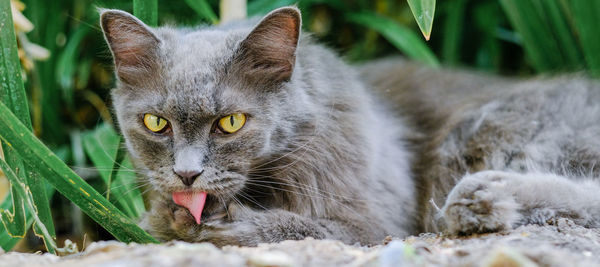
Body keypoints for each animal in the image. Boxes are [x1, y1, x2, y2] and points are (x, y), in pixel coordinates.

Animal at [99, 6, 600, 247]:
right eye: (156, 123)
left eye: (231, 122)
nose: (187, 175)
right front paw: (171, 216)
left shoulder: (376, 219)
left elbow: (310, 228)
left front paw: (224, 225)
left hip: (486, 127)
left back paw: (483, 198)